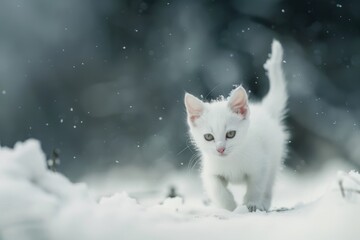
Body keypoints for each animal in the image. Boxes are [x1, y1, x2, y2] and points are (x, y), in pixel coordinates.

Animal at [184, 39, 288, 212]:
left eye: (230, 134)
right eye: (208, 137)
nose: (220, 149)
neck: (231, 160)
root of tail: (264, 109)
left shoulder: (261, 165)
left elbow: (256, 185)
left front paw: (251, 203)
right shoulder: (210, 171)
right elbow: (217, 189)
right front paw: (230, 207)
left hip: (274, 157)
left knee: (268, 185)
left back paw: (264, 204)